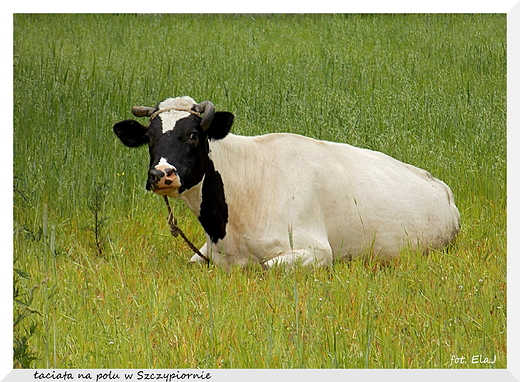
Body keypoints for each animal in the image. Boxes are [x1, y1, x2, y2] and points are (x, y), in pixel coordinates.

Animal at [112, 95, 460, 268]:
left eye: (193, 135)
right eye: (149, 137)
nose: (161, 175)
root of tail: (440, 185)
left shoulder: (317, 251)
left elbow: (266, 267)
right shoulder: (206, 253)